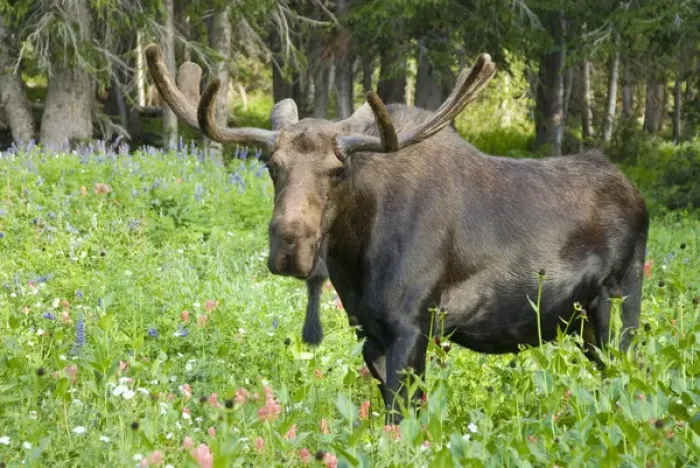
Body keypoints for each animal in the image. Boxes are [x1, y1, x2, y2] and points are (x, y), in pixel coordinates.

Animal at [145, 44, 649, 423]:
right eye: (272, 165)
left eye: (337, 170)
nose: (290, 246)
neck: (354, 254)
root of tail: (638, 196)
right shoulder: (369, 331)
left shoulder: (413, 324)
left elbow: (400, 419)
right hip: (584, 324)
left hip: (618, 305)